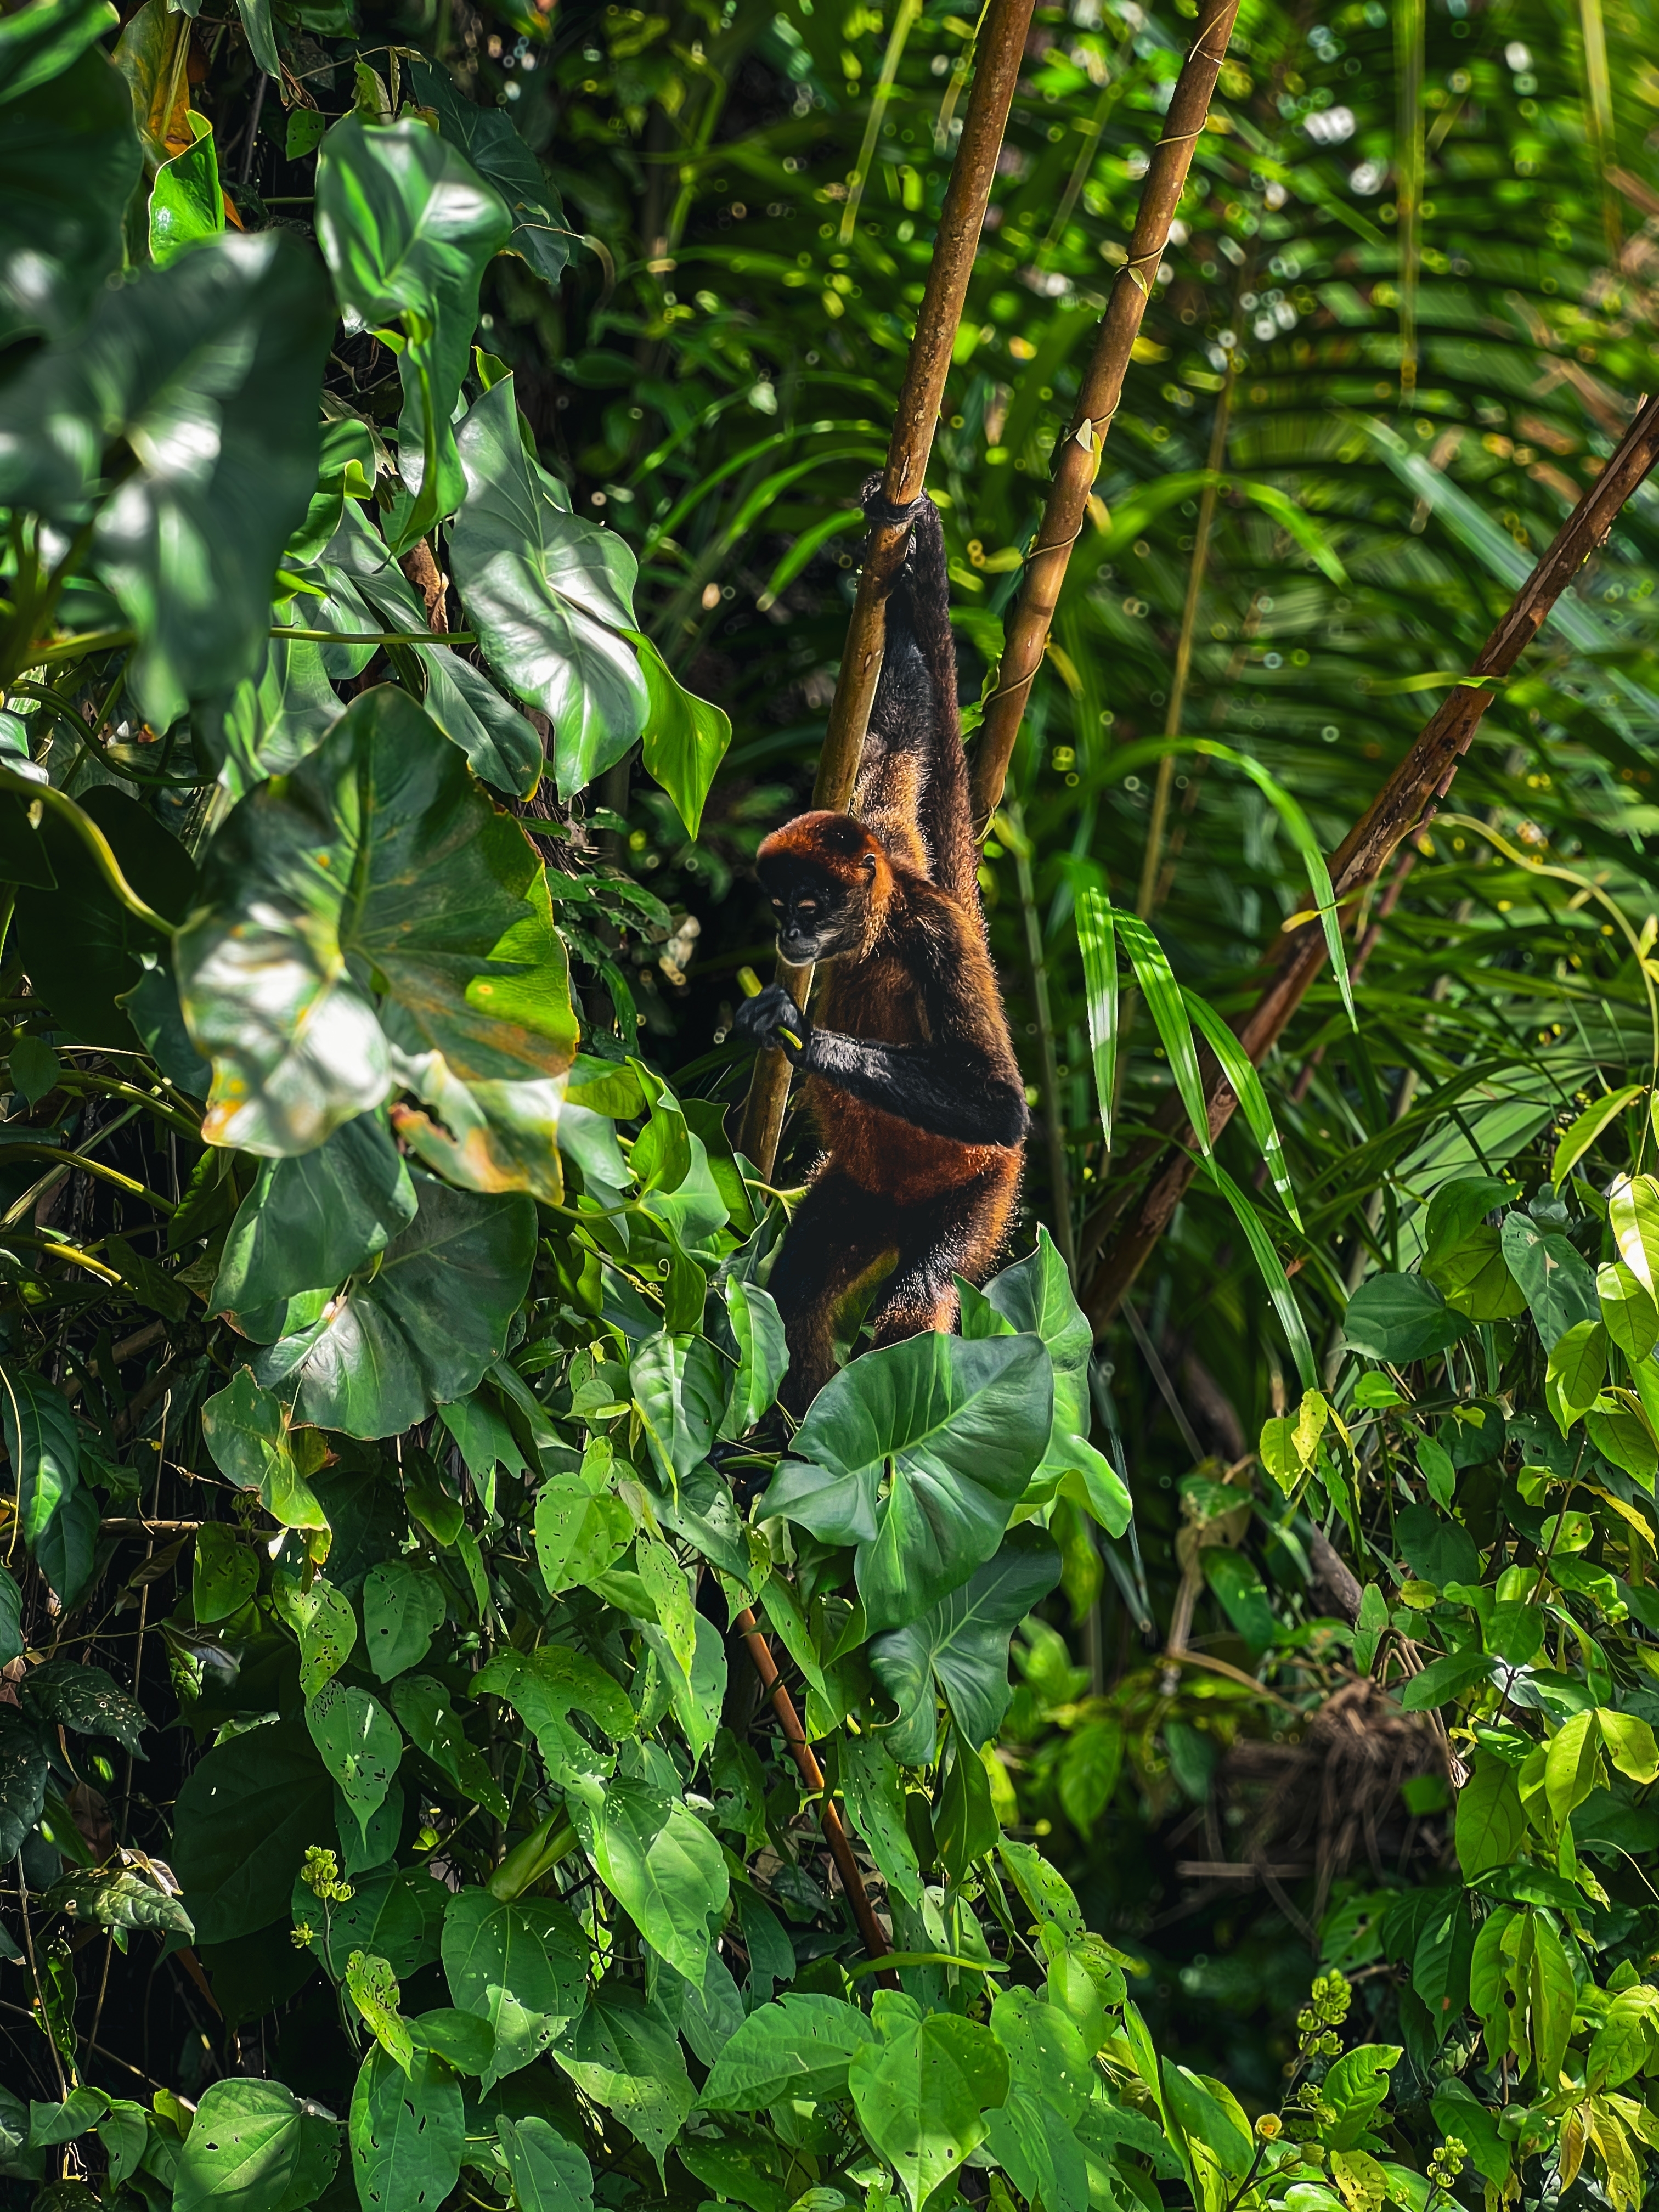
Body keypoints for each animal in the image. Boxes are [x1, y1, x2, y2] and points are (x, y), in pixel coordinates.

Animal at [734, 482, 1028, 1410]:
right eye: (780, 905)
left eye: (809, 905)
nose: (790, 934)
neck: (882, 932)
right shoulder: (886, 836)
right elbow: (902, 722)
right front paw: (909, 537)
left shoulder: (937, 933)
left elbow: (999, 1101)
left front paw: (801, 1034)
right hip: (859, 1194)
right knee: (796, 1293)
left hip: (980, 1195)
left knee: (917, 1302)